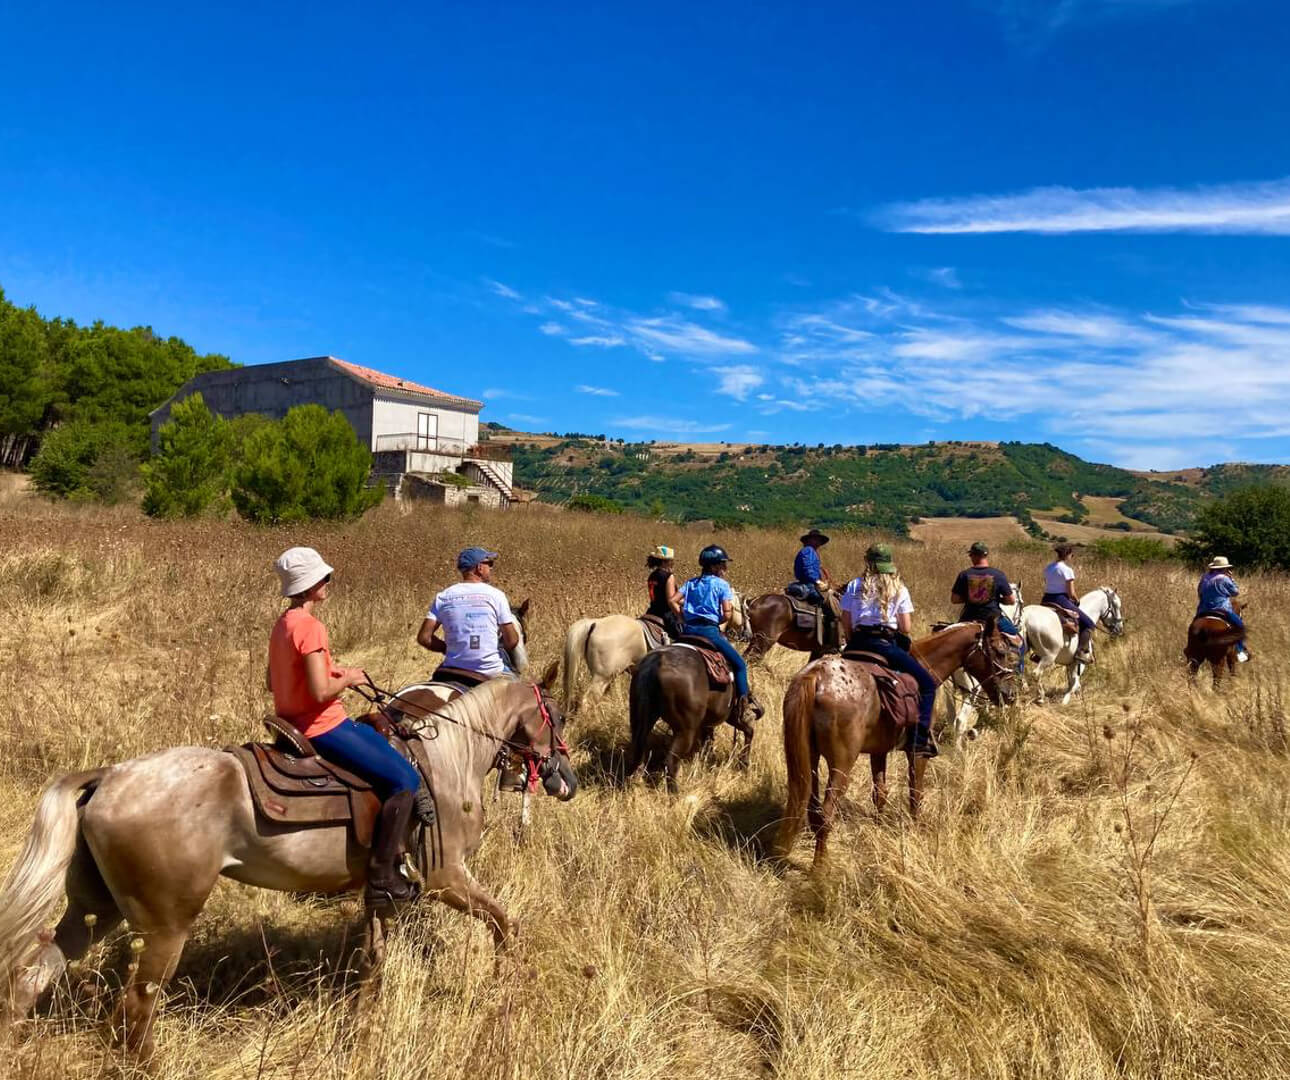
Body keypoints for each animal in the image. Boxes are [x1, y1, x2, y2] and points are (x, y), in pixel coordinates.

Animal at [0, 669, 576, 1060]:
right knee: (136, 1007)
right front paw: (503, 987)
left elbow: (373, 962)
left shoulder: (382, 889)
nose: (563, 779)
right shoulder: (445, 878)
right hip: (165, 925)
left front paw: (362, 1032)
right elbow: (506, 924)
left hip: (94, 910)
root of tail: (110, 777)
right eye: (558, 715)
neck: (446, 764)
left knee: (33, 974)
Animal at [561, 593, 747, 713]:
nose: (746, 633)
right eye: (743, 611)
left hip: (607, 677)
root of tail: (595, 623)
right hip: (602, 677)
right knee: (587, 701)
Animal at [775, 620, 1018, 870]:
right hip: (841, 764)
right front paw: (915, 829)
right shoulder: (917, 753)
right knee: (825, 813)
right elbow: (915, 793)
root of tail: (817, 677)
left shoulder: (879, 750)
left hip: (810, 759)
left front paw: (878, 827)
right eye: (1000, 651)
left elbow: (880, 793)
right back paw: (820, 868)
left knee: (812, 809)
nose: (1009, 695)